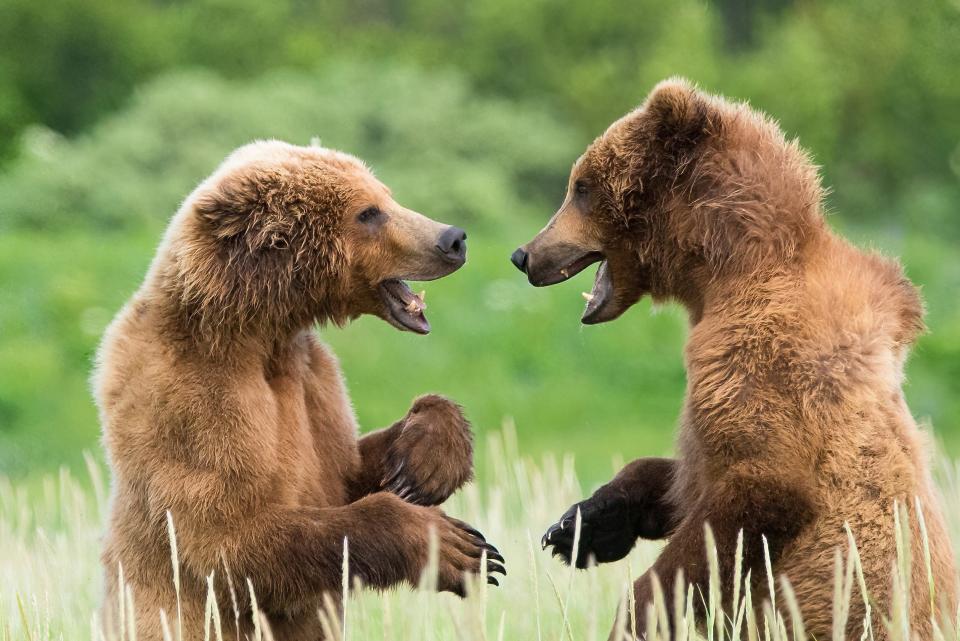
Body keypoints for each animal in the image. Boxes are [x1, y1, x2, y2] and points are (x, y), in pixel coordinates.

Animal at [94, 141, 506, 640]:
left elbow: (347, 465)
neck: (259, 332)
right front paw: (455, 547)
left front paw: (425, 463)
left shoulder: (313, 380)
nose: (453, 238)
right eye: (368, 213)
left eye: (387, 196)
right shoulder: (191, 397)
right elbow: (227, 540)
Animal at [510, 81, 952, 640]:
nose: (524, 255)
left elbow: (756, 493)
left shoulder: (759, 357)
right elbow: (683, 479)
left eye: (581, 187)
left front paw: (639, 610)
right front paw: (581, 524)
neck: (720, 272)